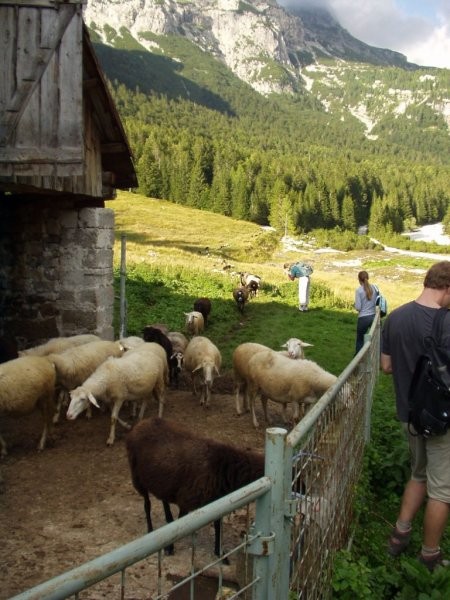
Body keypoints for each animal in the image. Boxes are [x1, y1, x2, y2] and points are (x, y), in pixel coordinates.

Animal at [125, 418, 264, 556]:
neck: (223, 468)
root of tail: (142, 423)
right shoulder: (186, 499)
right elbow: (180, 523)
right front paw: (169, 547)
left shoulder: (216, 502)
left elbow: (218, 526)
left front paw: (220, 553)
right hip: (137, 477)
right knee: (147, 504)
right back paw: (150, 529)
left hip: (162, 481)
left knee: (164, 500)